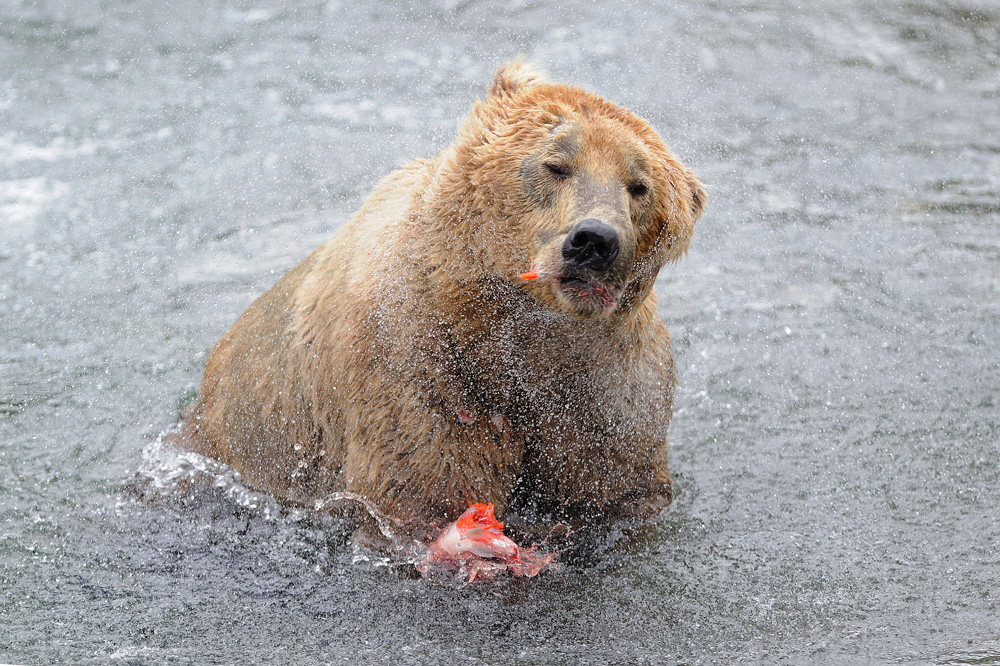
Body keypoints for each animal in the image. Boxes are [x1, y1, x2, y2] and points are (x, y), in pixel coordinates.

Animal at [176, 59, 708, 544]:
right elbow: (426, 488)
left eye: (639, 186)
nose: (594, 241)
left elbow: (618, 491)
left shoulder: (608, 393)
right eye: (555, 164)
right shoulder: (418, 371)